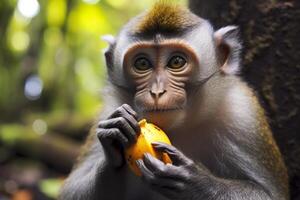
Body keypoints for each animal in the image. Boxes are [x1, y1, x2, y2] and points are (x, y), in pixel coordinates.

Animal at [58, 1, 288, 200]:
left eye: (177, 62)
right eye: (142, 63)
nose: (157, 92)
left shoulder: (242, 114)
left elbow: (269, 194)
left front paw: (196, 182)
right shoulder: (110, 108)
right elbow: (71, 191)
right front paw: (115, 140)